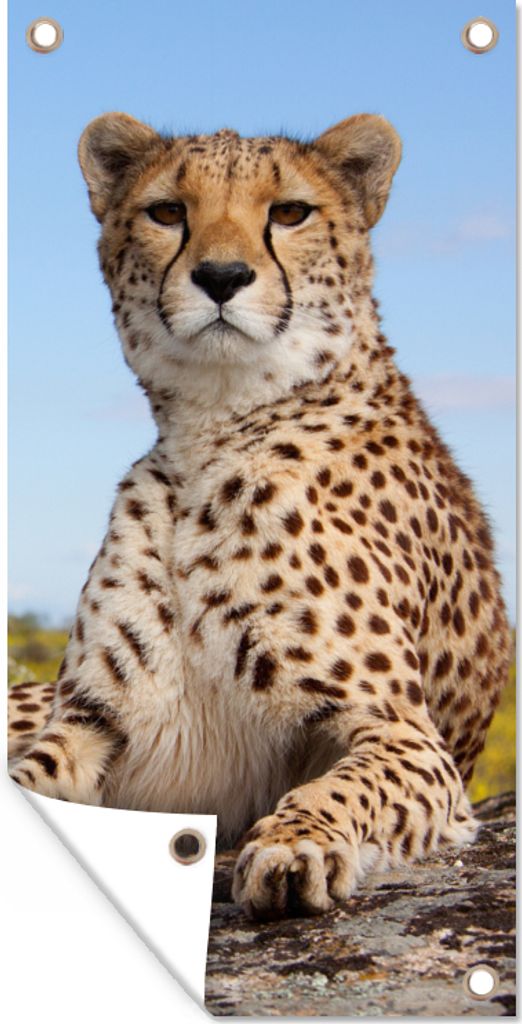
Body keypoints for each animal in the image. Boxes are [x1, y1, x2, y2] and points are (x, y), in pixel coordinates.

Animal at [9, 111, 511, 920]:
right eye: (167, 212)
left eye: (290, 212)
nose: (221, 277)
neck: (213, 429)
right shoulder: (89, 723)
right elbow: (23, 783)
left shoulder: (407, 738)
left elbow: (342, 786)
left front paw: (294, 844)